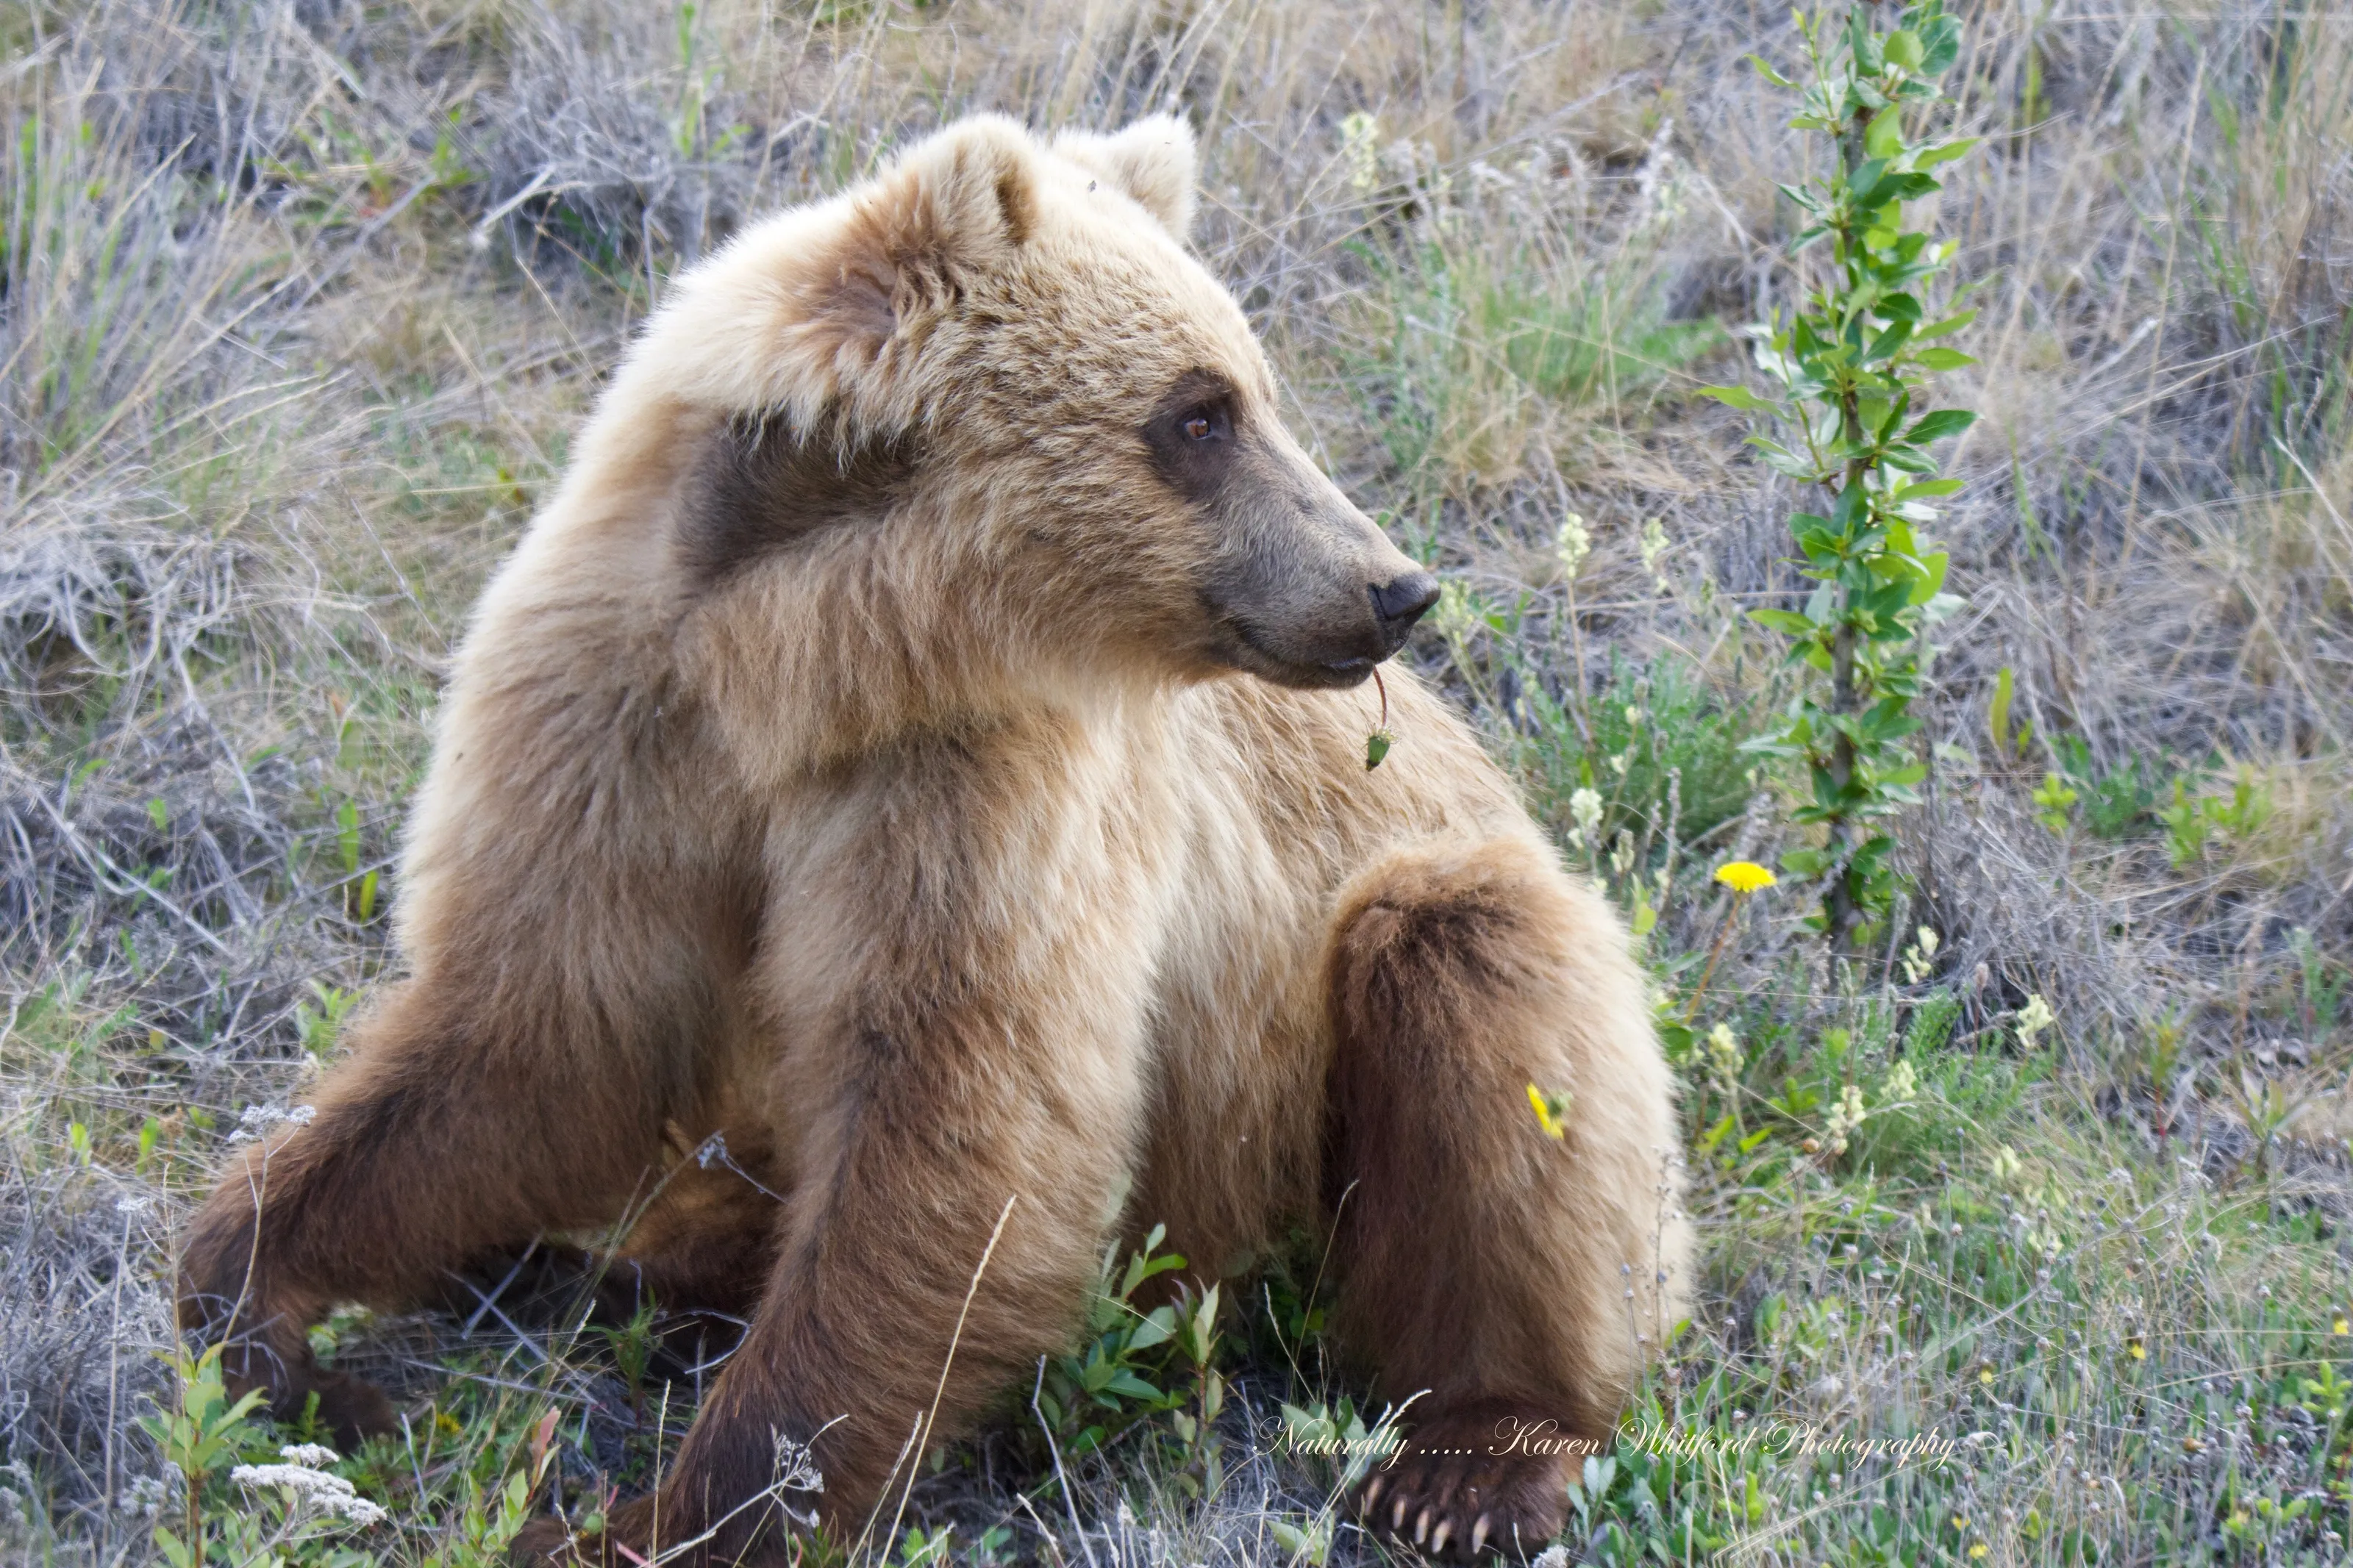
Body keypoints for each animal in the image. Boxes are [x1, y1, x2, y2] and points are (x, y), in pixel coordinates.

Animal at [176, 112, 1690, 1564]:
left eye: (1250, 387)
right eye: (1201, 412)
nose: (1393, 588)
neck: (802, 668)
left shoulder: (976, 793)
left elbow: (958, 1131)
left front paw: (647, 1520)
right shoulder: (617, 720)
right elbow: (532, 1038)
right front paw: (266, 1319)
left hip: (1364, 1072)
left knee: (1478, 978)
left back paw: (1472, 1465)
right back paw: (637, 1262)